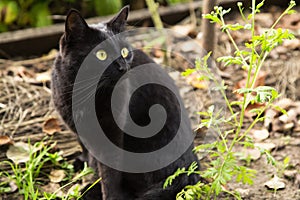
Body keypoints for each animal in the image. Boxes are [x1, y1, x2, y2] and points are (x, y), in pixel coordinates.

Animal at [51, 5, 200, 199]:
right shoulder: (80, 132)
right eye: (101, 54)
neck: (83, 93)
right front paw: (88, 170)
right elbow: (90, 157)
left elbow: (109, 176)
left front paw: (108, 194)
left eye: (124, 52)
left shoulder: (111, 137)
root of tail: (190, 170)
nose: (123, 67)